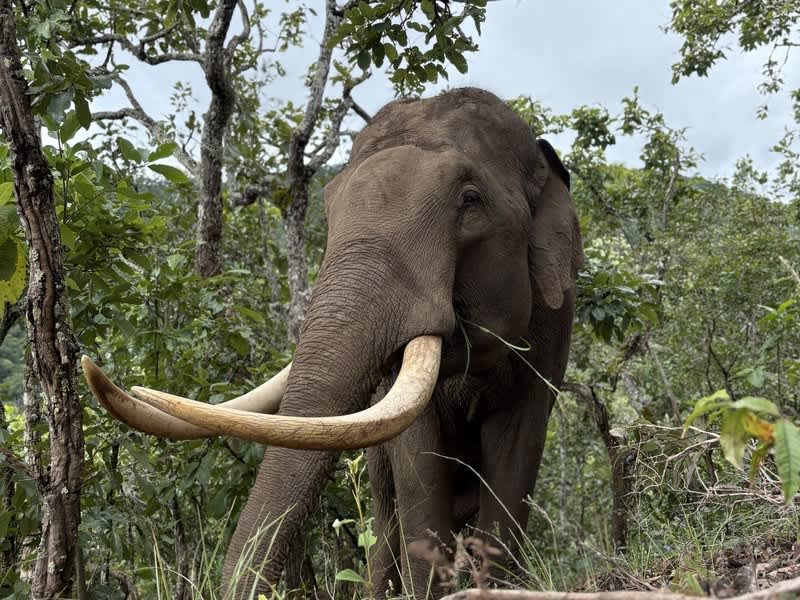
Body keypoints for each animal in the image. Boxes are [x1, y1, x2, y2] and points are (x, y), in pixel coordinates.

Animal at [82, 87, 583, 598]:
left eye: (470, 200)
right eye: (329, 206)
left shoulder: (553, 332)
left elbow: (515, 461)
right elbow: (418, 470)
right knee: (387, 515)